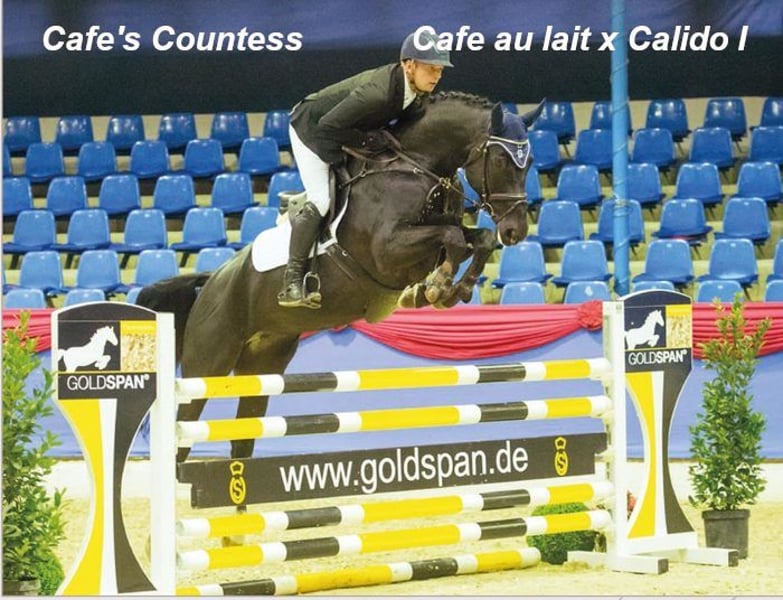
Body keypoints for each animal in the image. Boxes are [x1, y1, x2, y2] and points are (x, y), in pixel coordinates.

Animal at [138, 92, 543, 463]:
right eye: (502, 159)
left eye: (530, 163)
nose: (516, 231)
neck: (418, 167)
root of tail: (212, 281)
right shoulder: (387, 251)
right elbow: (454, 239)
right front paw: (436, 287)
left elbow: (477, 237)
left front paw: (448, 290)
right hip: (210, 363)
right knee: (185, 430)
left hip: (263, 363)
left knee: (244, 435)